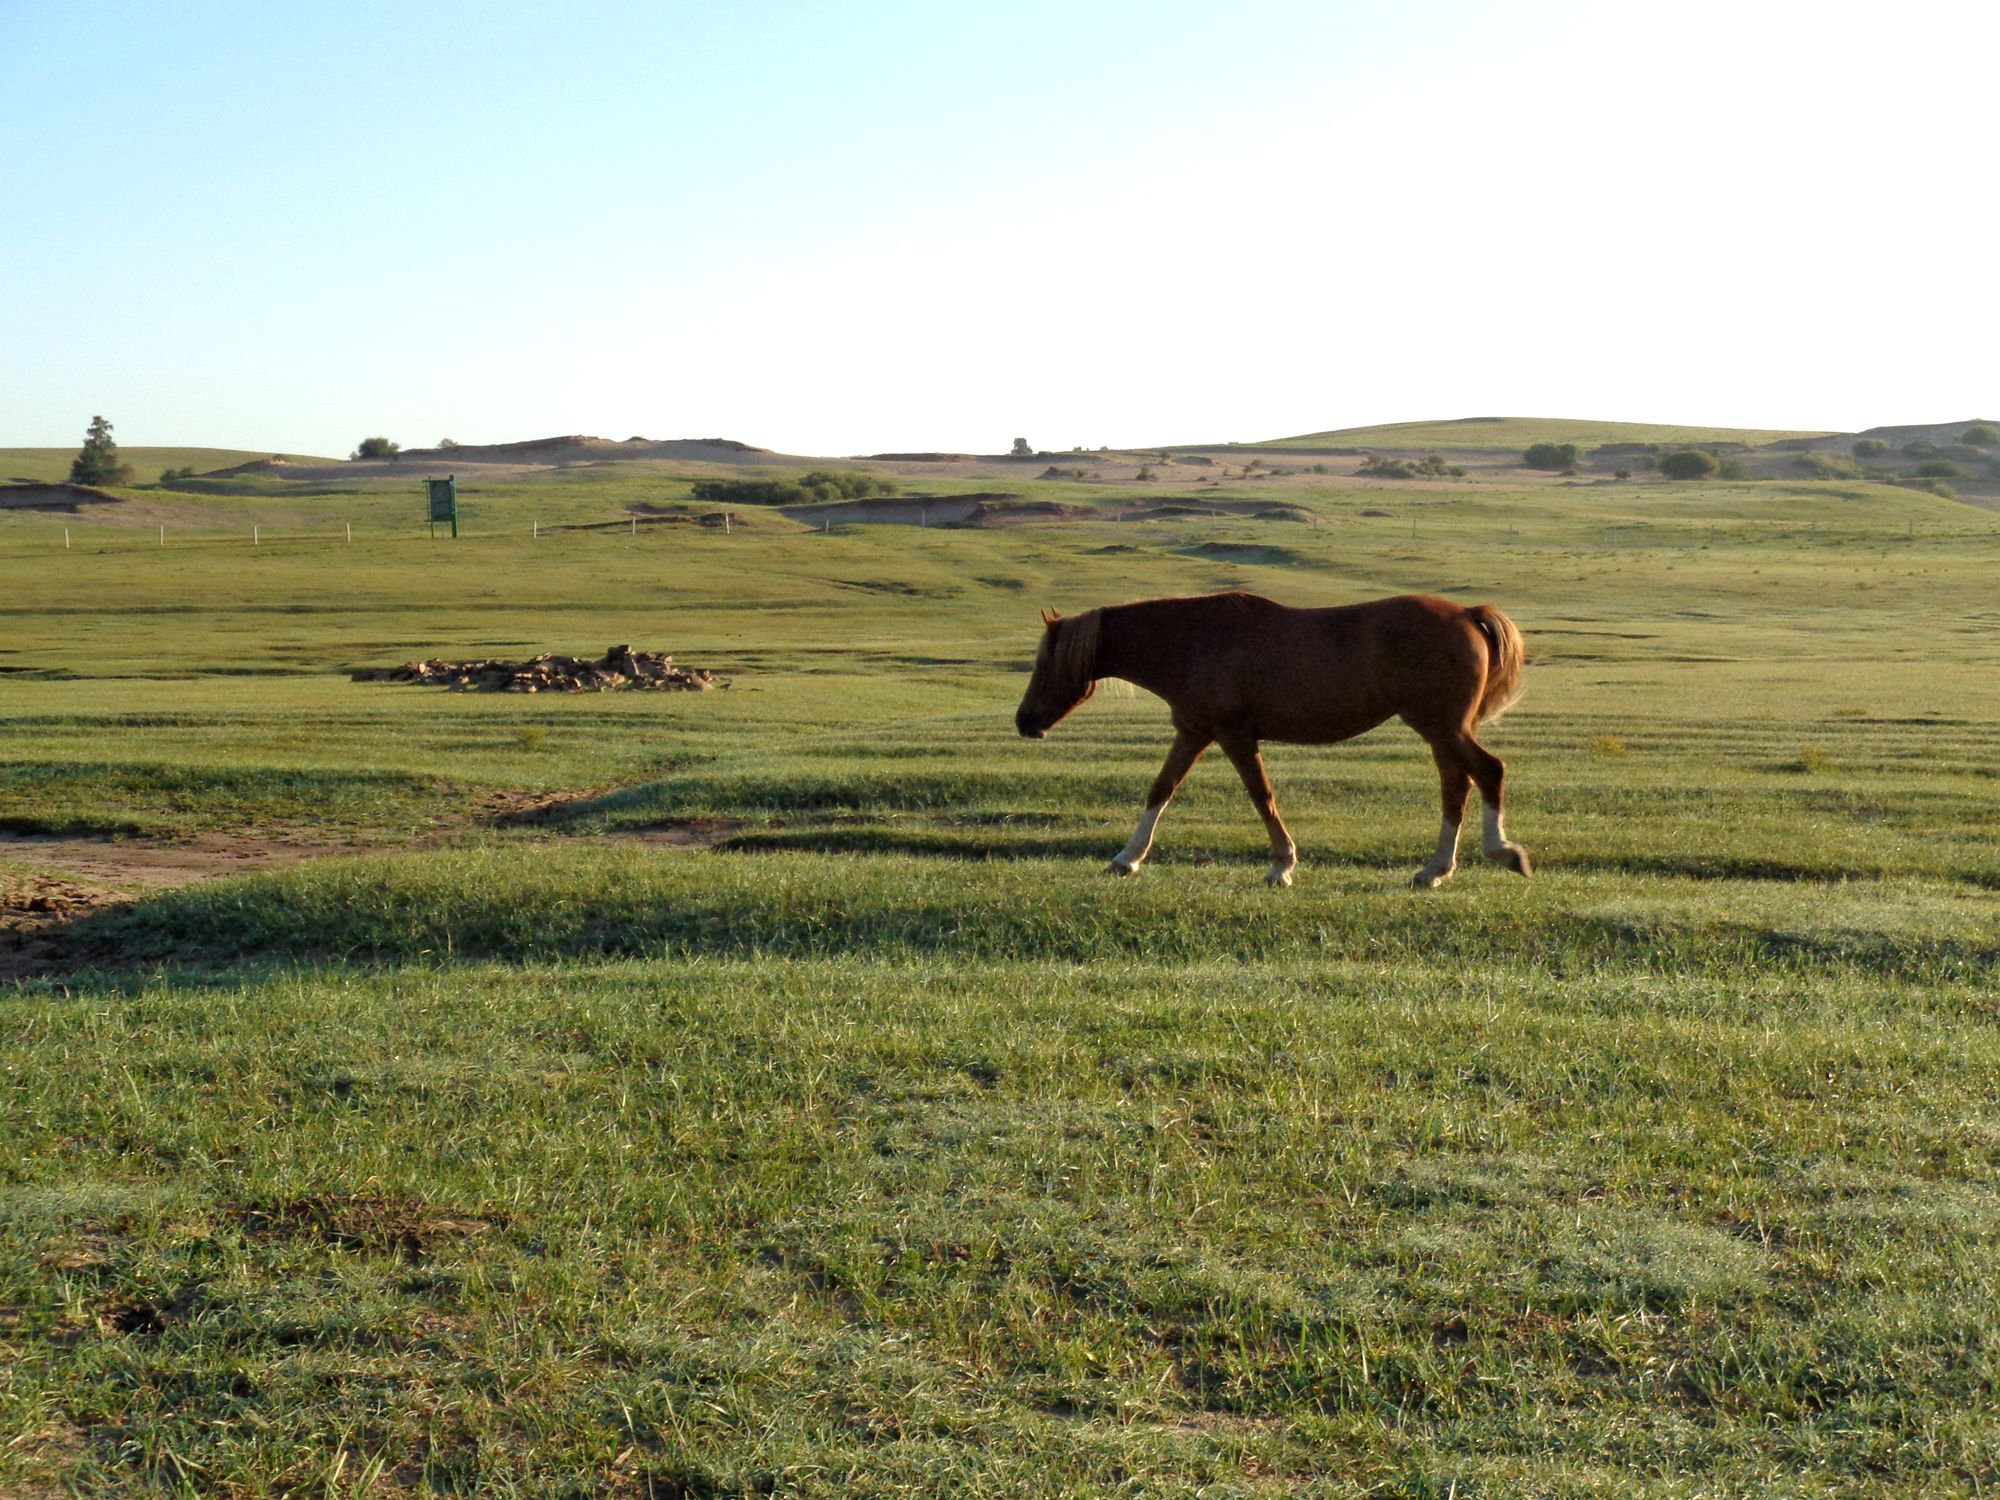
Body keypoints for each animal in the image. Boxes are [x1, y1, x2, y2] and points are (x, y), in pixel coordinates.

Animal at [1016, 592, 1528, 892]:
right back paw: (1435, 869)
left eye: (1045, 664)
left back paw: (1502, 852)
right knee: (1456, 787)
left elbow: (1261, 796)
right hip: (1441, 731)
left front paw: (1282, 865)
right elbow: (1161, 790)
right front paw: (1127, 857)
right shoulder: (1195, 732)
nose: (1024, 722)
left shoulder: (1233, 734)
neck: (1191, 641)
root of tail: (1468, 615)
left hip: (1442, 727)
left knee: (1487, 772)